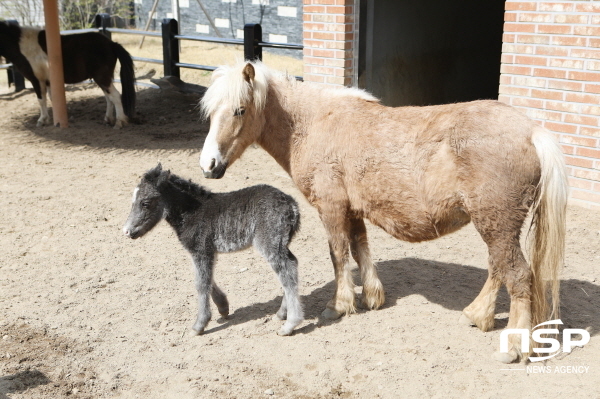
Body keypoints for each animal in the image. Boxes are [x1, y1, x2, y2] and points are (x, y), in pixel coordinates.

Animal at [0, 21, 135, 129]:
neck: (23, 45)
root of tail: (111, 44)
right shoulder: (49, 81)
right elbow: (52, 99)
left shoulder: (37, 80)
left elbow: (41, 100)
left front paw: (42, 120)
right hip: (102, 79)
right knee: (109, 97)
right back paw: (108, 119)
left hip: (102, 78)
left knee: (115, 96)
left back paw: (119, 122)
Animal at [122, 164, 304, 336]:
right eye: (132, 201)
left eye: (145, 203)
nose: (126, 231)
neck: (191, 211)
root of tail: (292, 205)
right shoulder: (205, 251)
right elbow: (206, 279)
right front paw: (223, 307)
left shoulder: (201, 250)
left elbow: (201, 283)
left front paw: (199, 325)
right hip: (282, 243)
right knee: (292, 265)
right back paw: (281, 314)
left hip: (269, 242)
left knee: (286, 271)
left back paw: (290, 324)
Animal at [197, 60, 568, 362]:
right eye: (211, 113)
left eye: (240, 110)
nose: (208, 165)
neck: (314, 124)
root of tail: (531, 131)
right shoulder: (353, 210)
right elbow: (360, 249)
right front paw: (372, 297)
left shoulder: (332, 208)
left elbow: (338, 255)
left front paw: (339, 305)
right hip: (495, 225)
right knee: (498, 268)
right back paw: (477, 315)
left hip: (497, 223)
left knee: (517, 275)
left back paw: (515, 345)